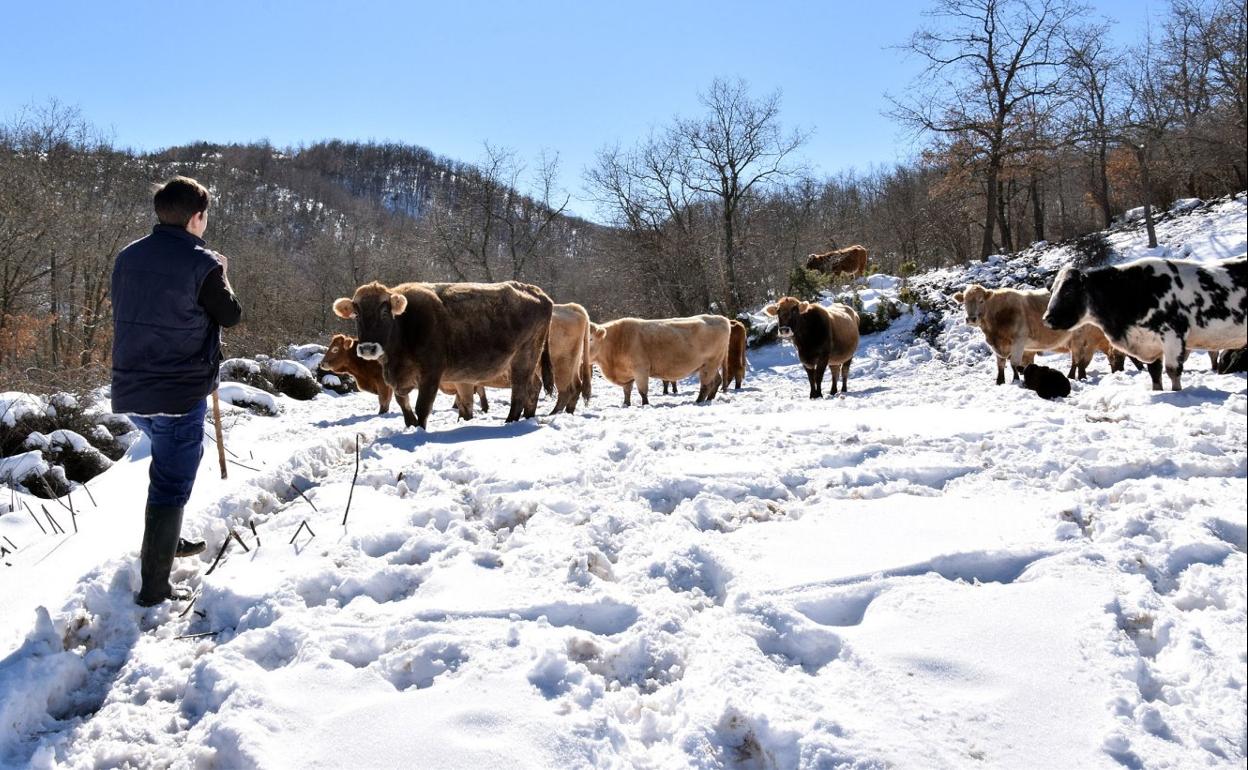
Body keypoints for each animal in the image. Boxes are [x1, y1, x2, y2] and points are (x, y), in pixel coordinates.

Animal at [331, 280, 551, 429]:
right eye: (357, 315)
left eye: (384, 313)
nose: (367, 348)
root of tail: (538, 292)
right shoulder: (397, 381)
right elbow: (405, 407)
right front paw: (410, 427)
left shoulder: (431, 373)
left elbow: (421, 407)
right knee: (533, 388)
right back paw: (528, 418)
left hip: (524, 358)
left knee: (520, 393)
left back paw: (510, 422)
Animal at [586, 313, 728, 404]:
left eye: (590, 339)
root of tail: (720, 318)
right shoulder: (627, 375)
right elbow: (627, 392)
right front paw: (626, 404)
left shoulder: (640, 370)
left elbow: (642, 391)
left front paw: (645, 404)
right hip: (710, 365)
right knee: (717, 381)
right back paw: (709, 399)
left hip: (710, 364)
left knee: (706, 385)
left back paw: (698, 402)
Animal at [1043, 257, 1248, 389]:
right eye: (1052, 291)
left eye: (1069, 291)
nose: (1047, 318)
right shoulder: (1151, 343)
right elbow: (1155, 373)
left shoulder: (1174, 336)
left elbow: (1173, 371)